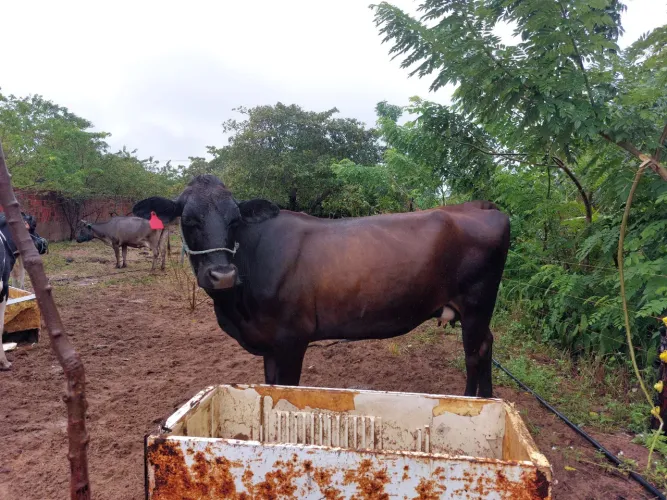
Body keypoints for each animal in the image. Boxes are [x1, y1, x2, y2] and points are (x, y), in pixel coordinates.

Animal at [133, 175, 510, 397]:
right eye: (189, 220)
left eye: (234, 220)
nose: (222, 275)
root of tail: (480, 206)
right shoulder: (270, 344)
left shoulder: (291, 338)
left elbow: (287, 388)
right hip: (476, 311)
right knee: (487, 345)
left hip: (477, 304)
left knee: (475, 352)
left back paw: (473, 401)